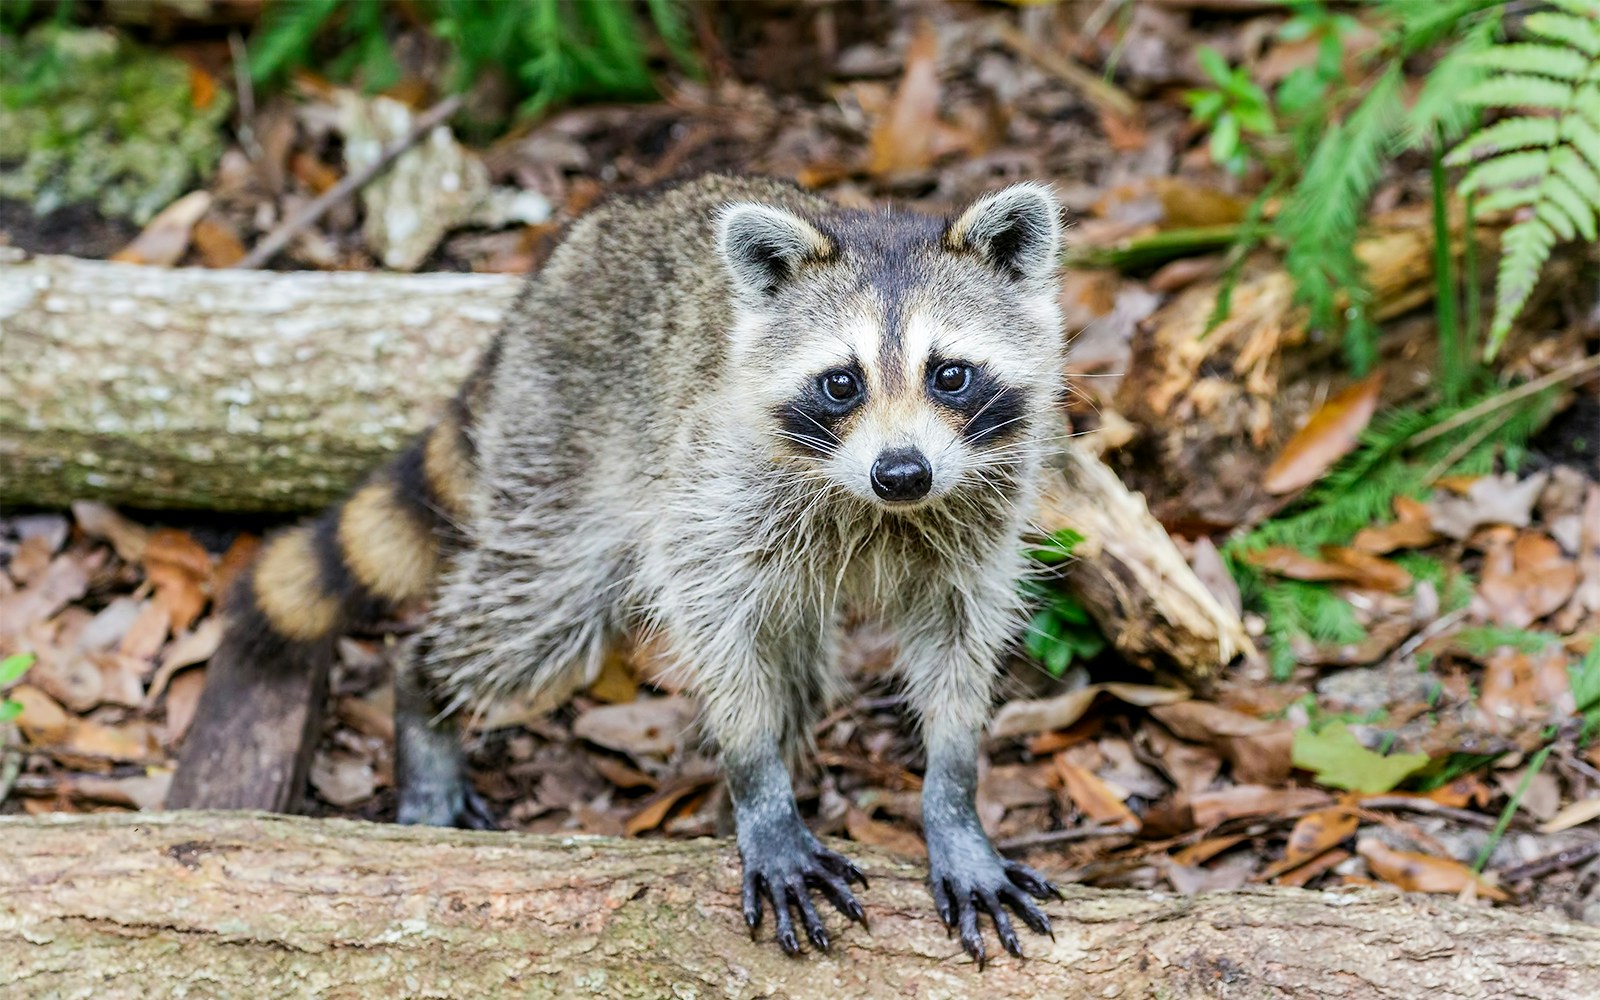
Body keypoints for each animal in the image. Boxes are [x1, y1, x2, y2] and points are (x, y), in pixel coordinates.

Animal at [212, 174, 1067, 962]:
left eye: (948, 374)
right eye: (841, 382)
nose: (902, 473)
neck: (877, 507)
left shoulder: (976, 522)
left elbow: (959, 646)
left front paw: (952, 801)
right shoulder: (715, 490)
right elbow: (714, 633)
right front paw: (760, 790)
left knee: (794, 669)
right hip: (566, 450)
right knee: (533, 612)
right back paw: (425, 692)